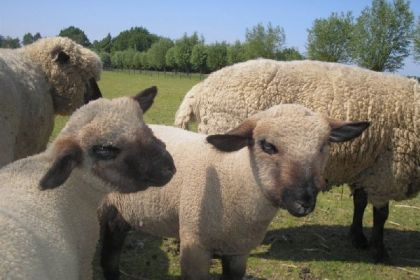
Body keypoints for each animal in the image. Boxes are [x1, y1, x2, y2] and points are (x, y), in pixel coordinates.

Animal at [98, 104, 368, 280]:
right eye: (267, 146)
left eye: (324, 146)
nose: (304, 200)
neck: (236, 178)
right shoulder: (195, 246)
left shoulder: (238, 250)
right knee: (108, 254)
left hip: (122, 212)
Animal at [174, 58, 420, 262]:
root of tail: (199, 90)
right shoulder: (387, 171)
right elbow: (381, 215)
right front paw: (379, 251)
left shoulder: (366, 167)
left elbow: (360, 203)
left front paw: (358, 237)